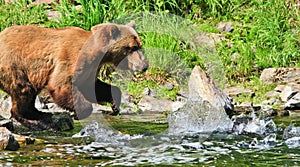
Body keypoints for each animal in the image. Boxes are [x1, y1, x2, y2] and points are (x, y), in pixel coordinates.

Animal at [0, 20, 148, 130]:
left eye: (140, 45)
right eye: (132, 47)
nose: (144, 65)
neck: (98, 53)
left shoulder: (91, 69)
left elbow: (93, 87)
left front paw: (115, 105)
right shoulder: (70, 58)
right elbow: (61, 85)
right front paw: (78, 113)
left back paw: (40, 114)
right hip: (15, 65)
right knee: (24, 90)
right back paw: (33, 120)